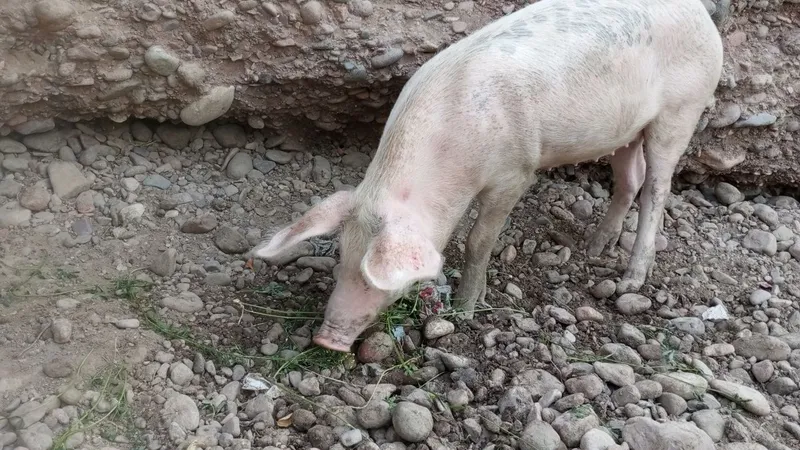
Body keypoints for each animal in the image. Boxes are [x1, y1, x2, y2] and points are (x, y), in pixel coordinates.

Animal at [251, 0, 724, 352]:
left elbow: (479, 239)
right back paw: (594, 248)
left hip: (682, 109)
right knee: (631, 178)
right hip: (627, 129)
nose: (326, 339)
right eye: (341, 260)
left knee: (658, 187)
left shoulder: (516, 172)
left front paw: (464, 310)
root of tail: (700, 13)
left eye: (376, 279)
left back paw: (629, 279)